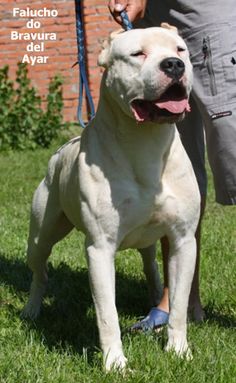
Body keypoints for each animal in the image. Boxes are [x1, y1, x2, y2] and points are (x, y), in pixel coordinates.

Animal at [21, 24, 199, 372]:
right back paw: (32, 309)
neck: (146, 142)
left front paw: (179, 350)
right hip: (41, 236)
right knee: (40, 273)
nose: (173, 65)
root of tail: (61, 151)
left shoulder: (184, 240)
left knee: (151, 266)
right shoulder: (100, 249)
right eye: (137, 54)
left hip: (149, 242)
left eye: (180, 49)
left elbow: (179, 304)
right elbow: (107, 314)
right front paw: (115, 363)